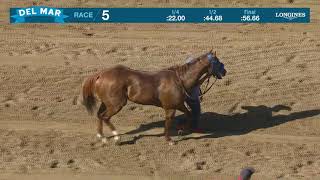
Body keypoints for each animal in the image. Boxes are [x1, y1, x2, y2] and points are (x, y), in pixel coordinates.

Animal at [81, 50, 226, 145]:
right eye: (217, 62)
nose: (224, 71)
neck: (180, 80)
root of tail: (100, 74)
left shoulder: (178, 104)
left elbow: (189, 114)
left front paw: (181, 130)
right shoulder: (170, 108)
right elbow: (168, 121)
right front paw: (169, 140)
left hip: (106, 103)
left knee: (99, 116)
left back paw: (102, 137)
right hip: (116, 105)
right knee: (105, 117)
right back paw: (116, 138)